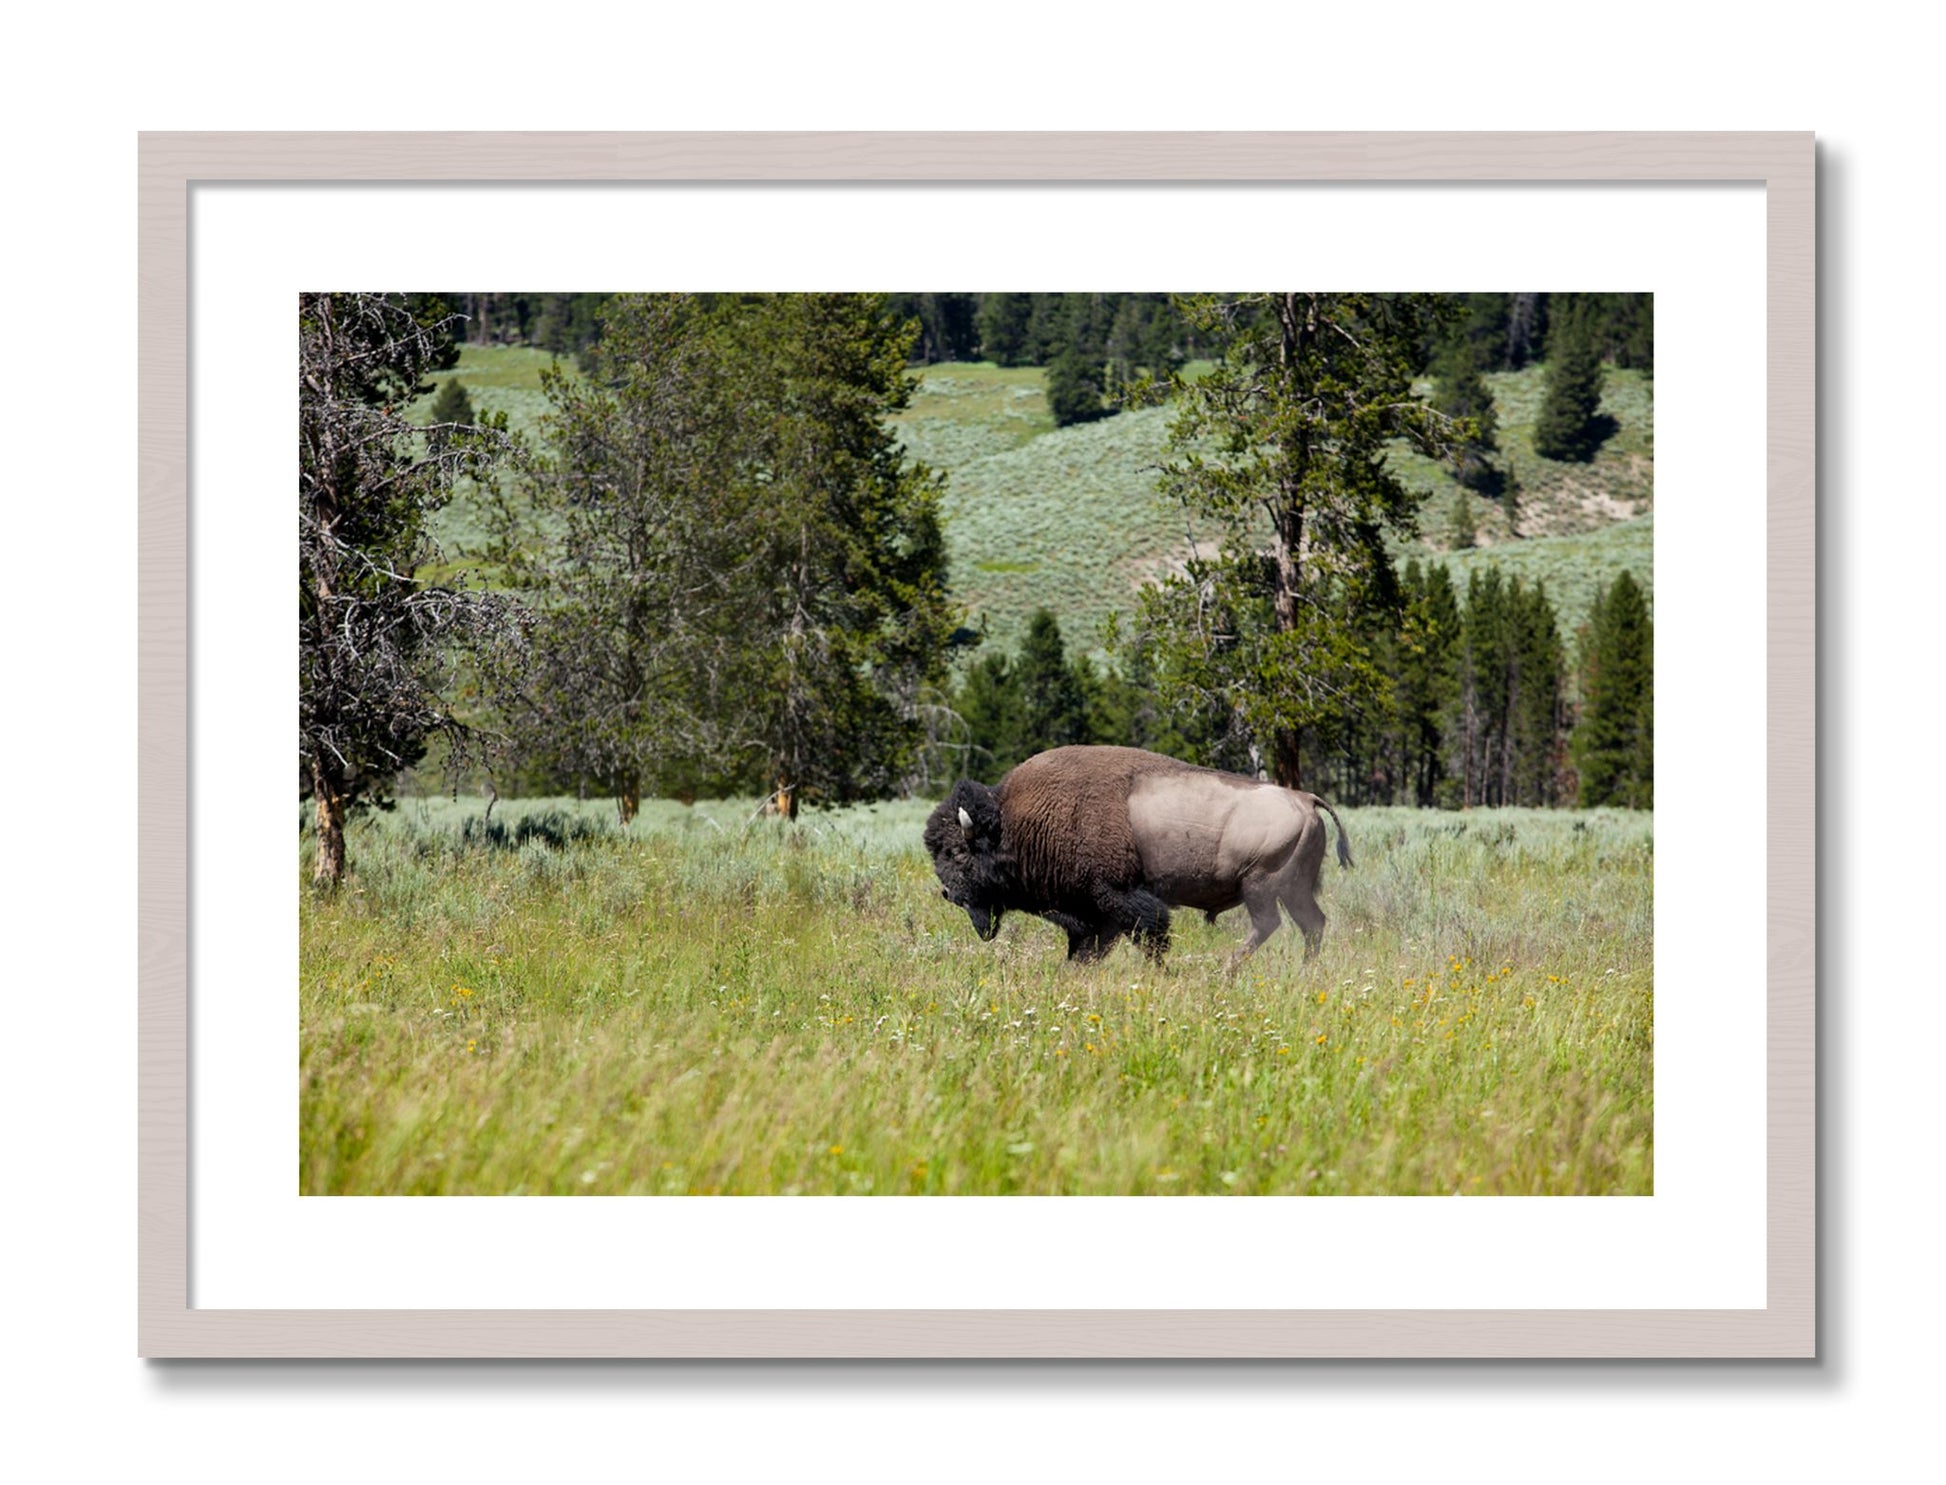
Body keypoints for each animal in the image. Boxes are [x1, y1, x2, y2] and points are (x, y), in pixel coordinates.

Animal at [923, 745, 1352, 968]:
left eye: (957, 852)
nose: (948, 893)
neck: (1014, 822)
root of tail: (1305, 799)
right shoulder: (1094, 913)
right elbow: (1088, 949)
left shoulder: (1118, 898)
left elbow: (1149, 936)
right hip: (1293, 889)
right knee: (1312, 924)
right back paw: (1302, 971)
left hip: (1261, 885)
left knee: (1270, 925)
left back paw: (1226, 971)